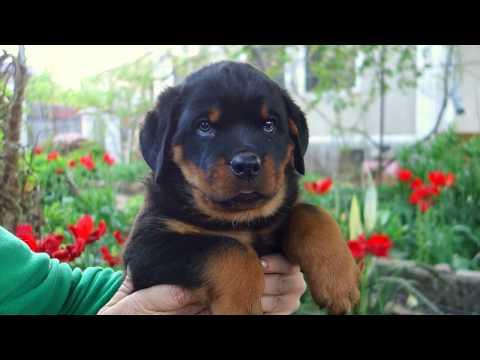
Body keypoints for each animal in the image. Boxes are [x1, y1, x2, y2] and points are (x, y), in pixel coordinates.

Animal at [124, 61, 360, 316]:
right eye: (204, 126)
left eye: (269, 125)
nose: (246, 164)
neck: (244, 220)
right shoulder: (147, 246)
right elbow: (229, 248)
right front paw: (242, 305)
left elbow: (311, 213)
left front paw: (339, 280)